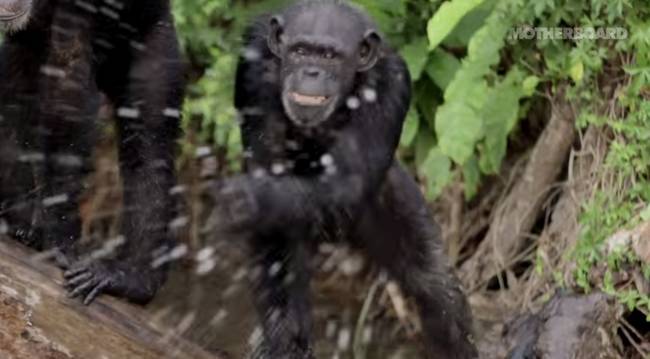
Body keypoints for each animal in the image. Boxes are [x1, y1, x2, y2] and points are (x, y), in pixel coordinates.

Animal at [210, 1, 478, 358]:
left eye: (329, 56)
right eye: (300, 51)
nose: (311, 72)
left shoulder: (391, 84)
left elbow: (349, 181)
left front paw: (249, 199)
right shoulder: (253, 70)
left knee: (433, 285)